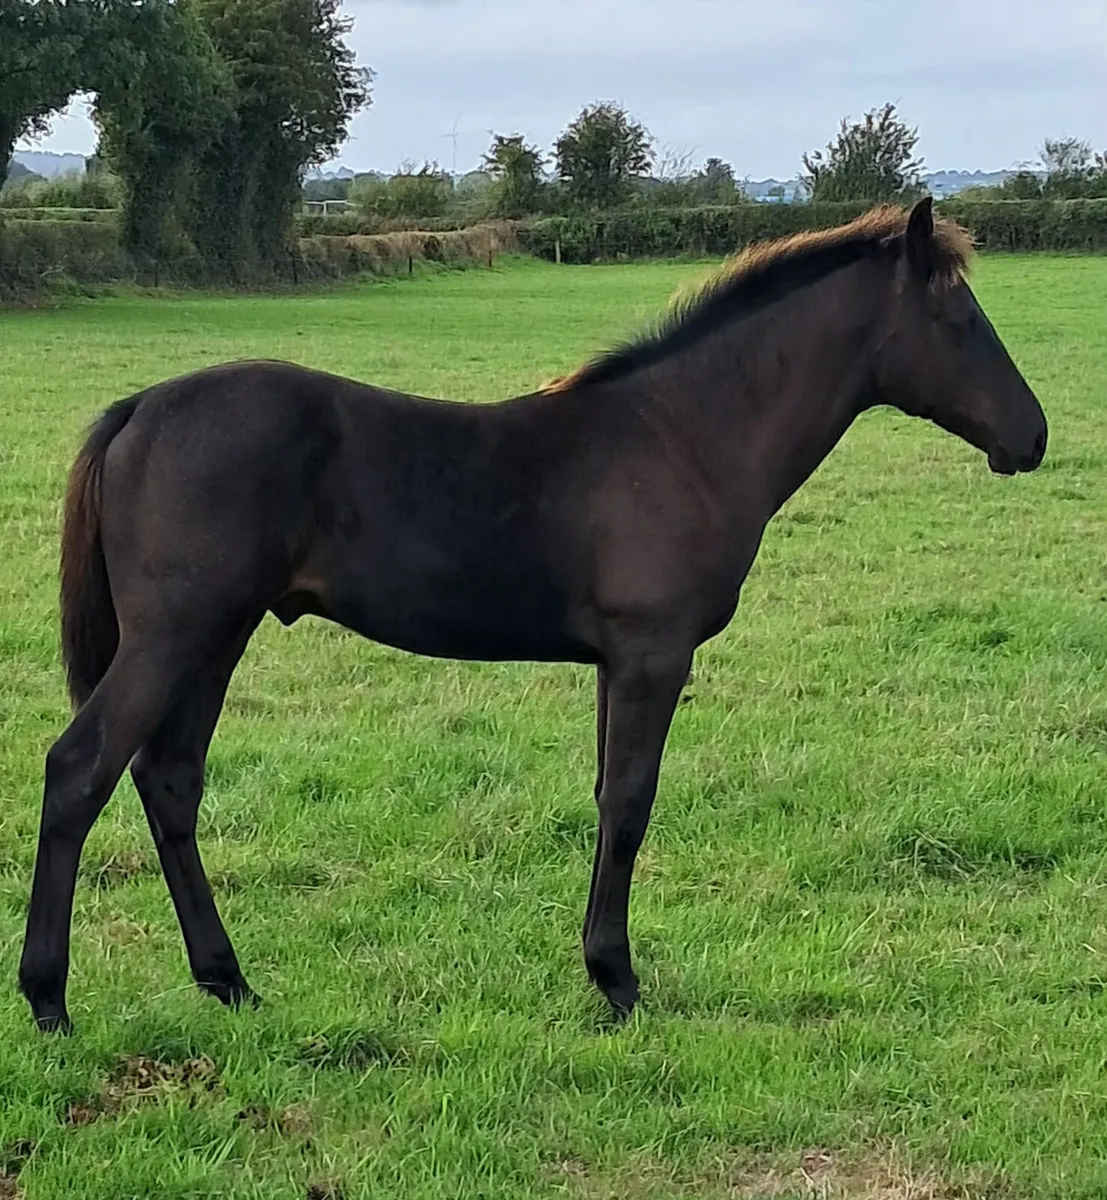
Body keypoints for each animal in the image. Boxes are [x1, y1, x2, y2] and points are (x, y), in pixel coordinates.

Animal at [19, 198, 1048, 1032]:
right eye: (959, 319)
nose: (1032, 437)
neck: (685, 436)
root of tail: (139, 407)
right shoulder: (652, 655)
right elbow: (630, 803)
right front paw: (619, 982)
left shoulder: (614, 663)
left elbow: (604, 797)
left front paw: (600, 970)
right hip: (174, 636)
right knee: (80, 770)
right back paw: (50, 1001)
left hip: (217, 638)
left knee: (170, 782)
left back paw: (228, 981)